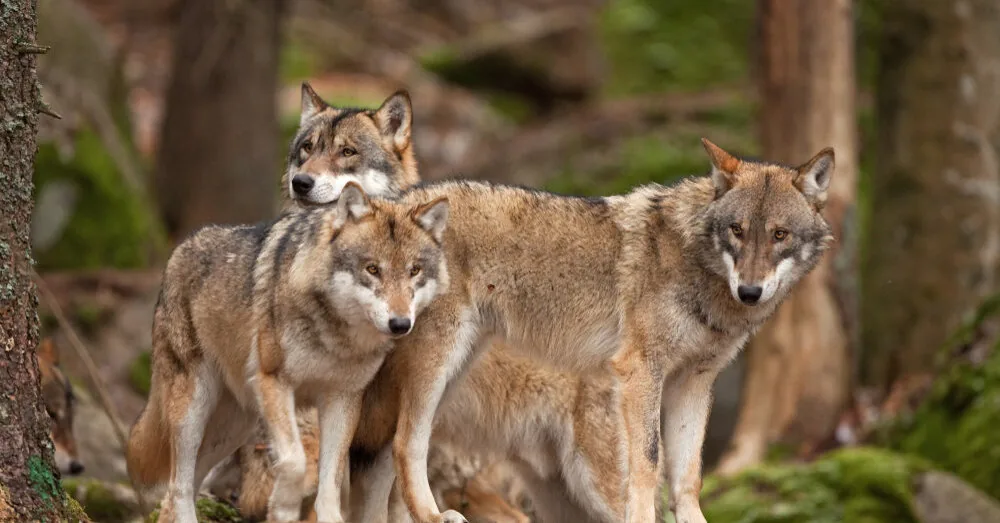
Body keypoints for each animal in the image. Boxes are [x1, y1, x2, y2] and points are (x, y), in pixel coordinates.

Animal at [125, 182, 450, 523]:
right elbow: (295, 462)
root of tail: (180, 248)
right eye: (372, 269)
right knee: (179, 484)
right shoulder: (275, 382)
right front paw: (282, 507)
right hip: (194, 410)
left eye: (414, 270)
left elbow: (330, 484)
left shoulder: (342, 399)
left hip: (233, 427)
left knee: (184, 485)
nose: (401, 324)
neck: (336, 337)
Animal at [360, 138, 835, 523]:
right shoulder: (640, 371)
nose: (750, 291)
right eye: (737, 230)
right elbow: (647, 466)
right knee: (405, 443)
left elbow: (687, 479)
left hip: (458, 381)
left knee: (390, 452)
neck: (697, 266)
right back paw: (432, 515)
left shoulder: (694, 383)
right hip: (439, 368)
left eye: (779, 235)